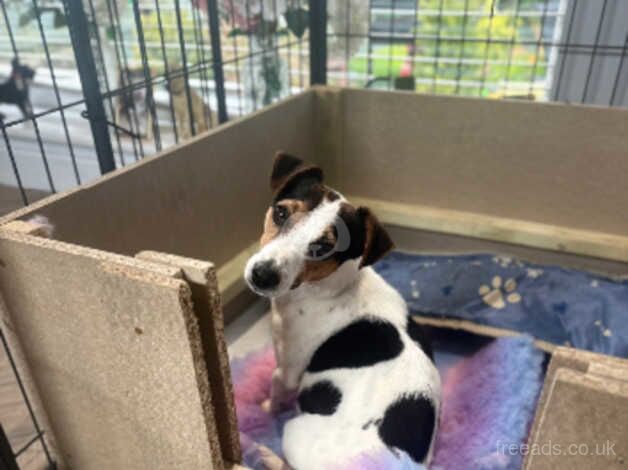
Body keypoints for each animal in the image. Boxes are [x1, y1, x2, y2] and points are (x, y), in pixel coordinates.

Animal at [243, 152, 440, 468]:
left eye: (322, 248)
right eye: (281, 213)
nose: (262, 275)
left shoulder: (288, 371)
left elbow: (275, 392)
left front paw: (263, 408)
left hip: (295, 430)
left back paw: (264, 454)